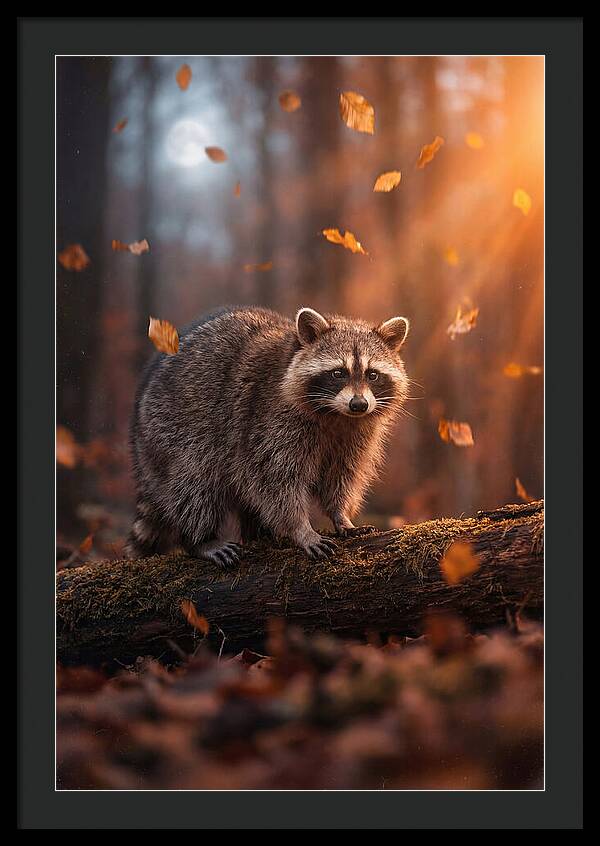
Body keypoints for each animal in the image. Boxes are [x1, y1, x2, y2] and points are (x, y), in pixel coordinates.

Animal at [127, 306, 410, 565]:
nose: (359, 404)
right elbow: (275, 480)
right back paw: (200, 539)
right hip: (172, 430)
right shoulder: (267, 421)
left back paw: (258, 534)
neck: (336, 415)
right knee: (194, 483)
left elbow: (341, 476)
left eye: (372, 375)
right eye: (338, 373)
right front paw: (301, 528)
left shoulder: (355, 435)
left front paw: (341, 515)